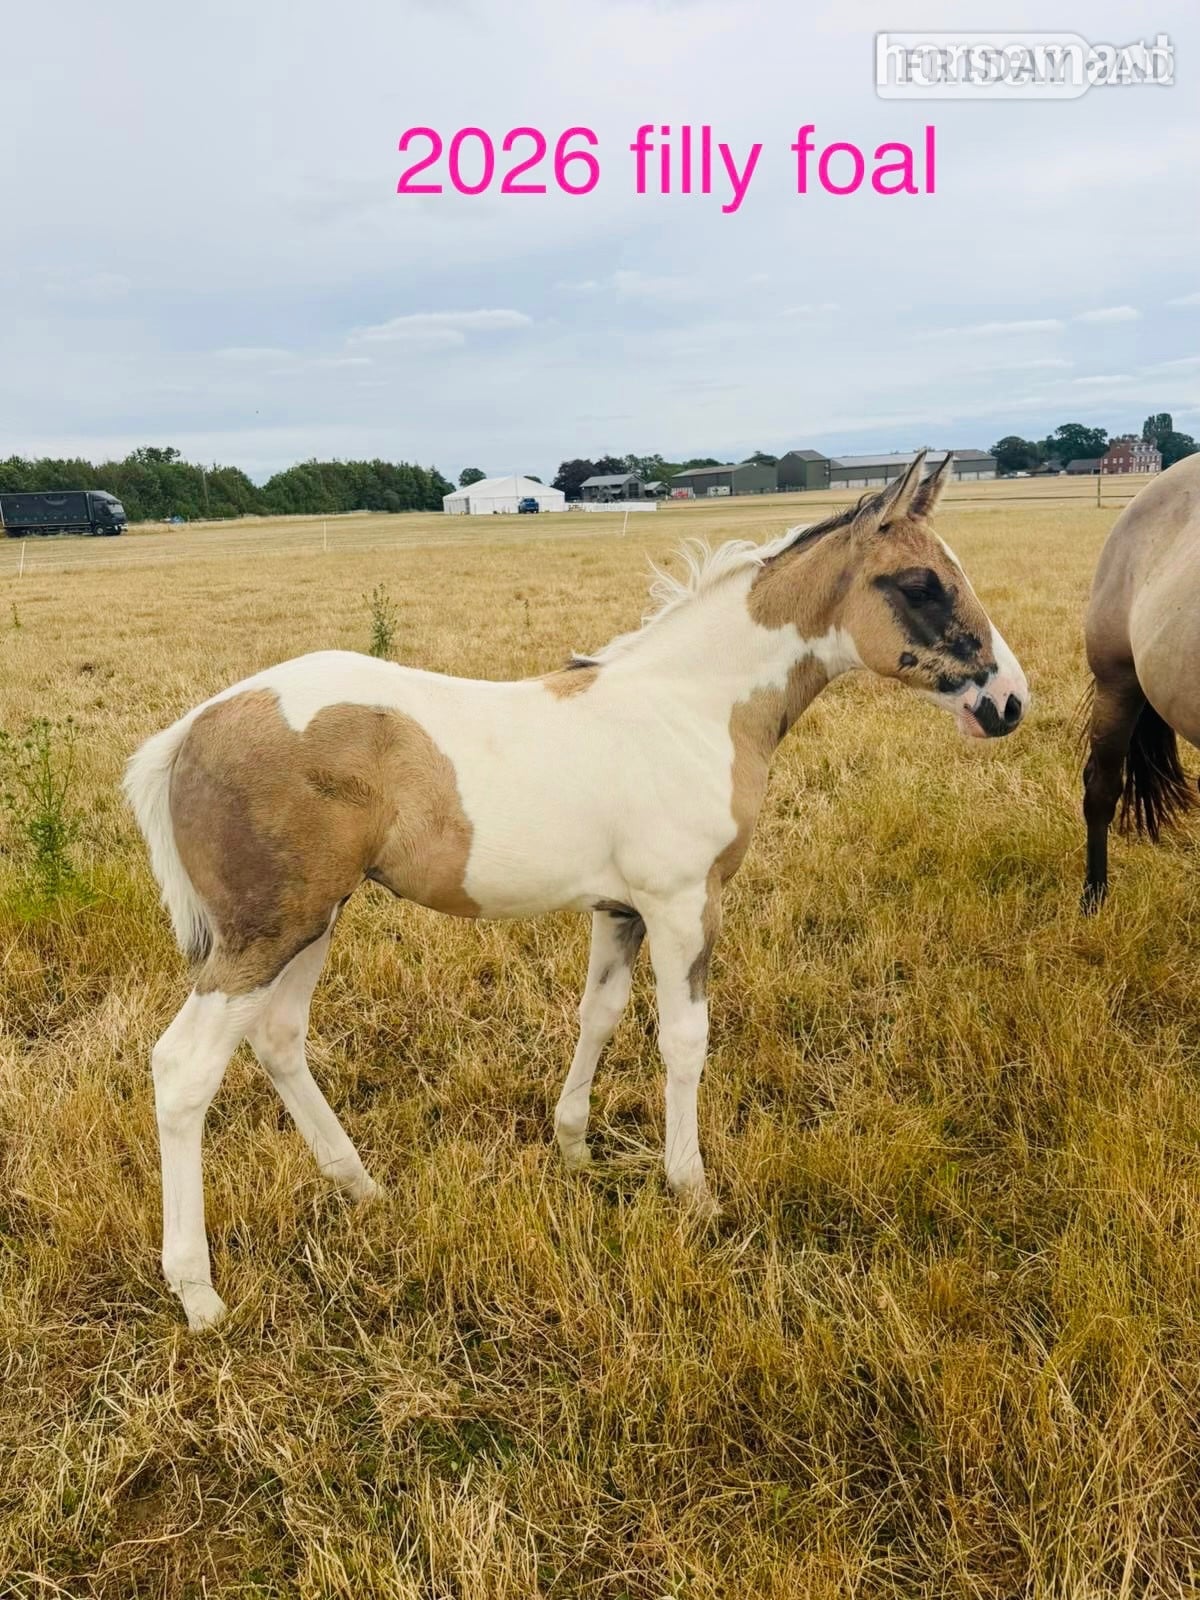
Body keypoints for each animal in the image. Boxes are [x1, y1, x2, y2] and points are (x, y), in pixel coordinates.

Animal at [125, 449, 1028, 1329]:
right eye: (920, 583)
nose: (1008, 702)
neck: (693, 707)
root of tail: (190, 729)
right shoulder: (683, 903)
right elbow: (684, 1040)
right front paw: (692, 1191)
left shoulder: (621, 909)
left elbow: (599, 1014)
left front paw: (574, 1147)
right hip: (268, 931)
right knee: (184, 1068)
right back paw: (198, 1292)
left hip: (314, 920)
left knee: (278, 1039)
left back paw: (361, 1188)